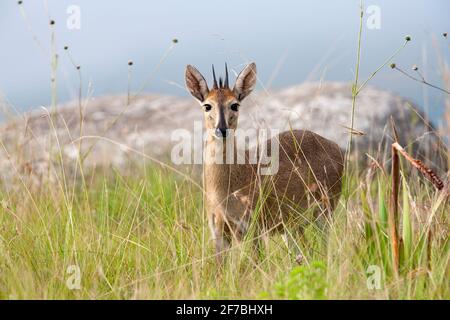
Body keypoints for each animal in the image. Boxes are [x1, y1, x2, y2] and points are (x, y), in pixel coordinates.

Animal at [185, 62, 342, 262]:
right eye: (207, 105)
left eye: (234, 104)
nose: (222, 129)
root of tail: (335, 146)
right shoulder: (218, 231)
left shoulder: (252, 229)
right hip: (291, 226)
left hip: (324, 214)